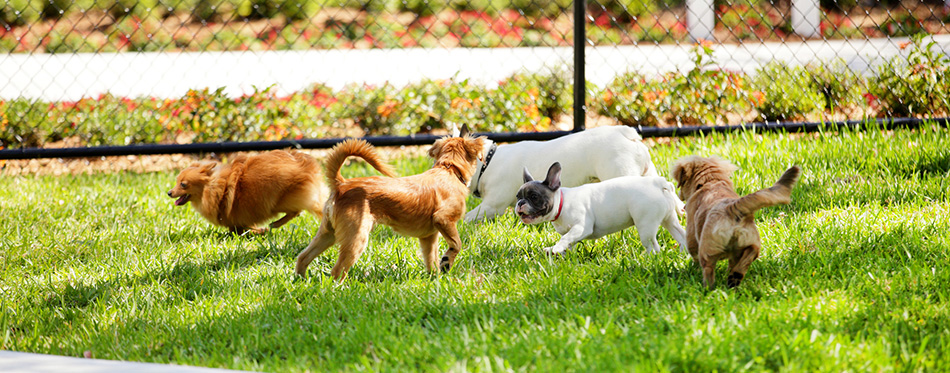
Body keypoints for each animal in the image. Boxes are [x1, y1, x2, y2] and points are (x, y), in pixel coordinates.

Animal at [171, 149, 330, 232]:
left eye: (183, 185)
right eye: (176, 181)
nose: (169, 192)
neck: (215, 188)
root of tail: (306, 165)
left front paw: (256, 232)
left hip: (280, 201)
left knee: (295, 212)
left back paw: (274, 224)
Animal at [296, 129, 490, 280]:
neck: (449, 169)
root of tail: (342, 184)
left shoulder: (428, 236)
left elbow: (431, 259)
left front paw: (434, 278)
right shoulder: (443, 219)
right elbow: (457, 244)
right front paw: (447, 262)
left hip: (328, 233)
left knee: (303, 257)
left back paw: (301, 281)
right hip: (356, 237)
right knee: (336, 271)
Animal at [516, 161, 688, 254]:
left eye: (534, 197)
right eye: (518, 197)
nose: (520, 203)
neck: (562, 203)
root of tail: (659, 183)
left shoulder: (581, 227)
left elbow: (566, 238)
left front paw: (556, 249)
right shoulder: (573, 233)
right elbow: (569, 241)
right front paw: (560, 252)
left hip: (646, 225)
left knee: (653, 246)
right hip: (669, 219)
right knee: (681, 235)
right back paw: (683, 253)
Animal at [668, 155, 804, 290]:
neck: (710, 181)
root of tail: (731, 208)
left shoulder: (691, 235)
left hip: (707, 251)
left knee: (709, 270)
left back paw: (709, 289)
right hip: (750, 243)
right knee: (748, 256)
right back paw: (734, 278)